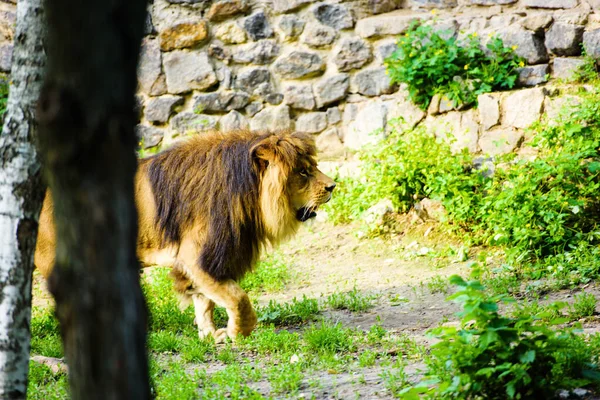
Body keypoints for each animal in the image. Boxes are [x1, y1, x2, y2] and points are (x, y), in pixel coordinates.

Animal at [35, 130, 336, 342]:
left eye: (313, 166)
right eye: (303, 171)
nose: (333, 186)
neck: (248, 193)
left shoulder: (206, 260)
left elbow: (206, 301)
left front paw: (210, 335)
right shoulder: (198, 256)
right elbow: (238, 298)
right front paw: (237, 332)